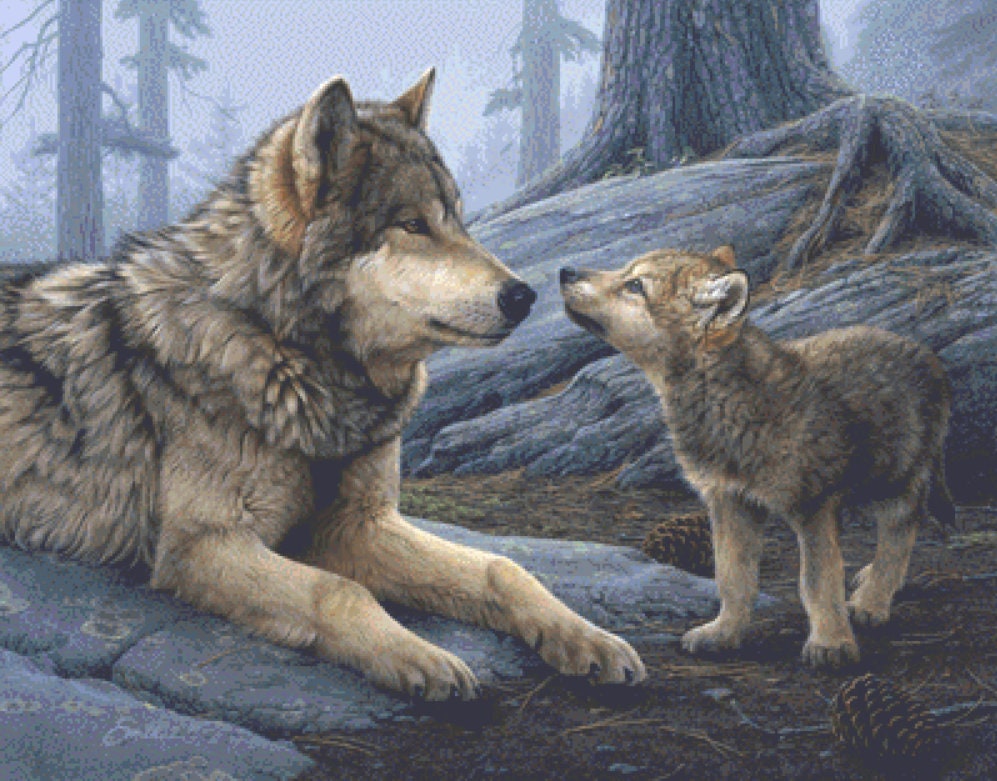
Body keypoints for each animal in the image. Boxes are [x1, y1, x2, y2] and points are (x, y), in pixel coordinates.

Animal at [0, 69, 645, 699]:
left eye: (459, 221)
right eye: (413, 225)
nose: (524, 295)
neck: (289, 356)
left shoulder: (357, 525)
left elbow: (501, 568)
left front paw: (587, 638)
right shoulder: (200, 546)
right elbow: (338, 590)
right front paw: (419, 658)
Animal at [559, 246, 953, 668]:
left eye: (635, 286)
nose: (565, 272)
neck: (724, 398)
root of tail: (926, 354)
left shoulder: (812, 507)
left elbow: (817, 582)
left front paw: (831, 643)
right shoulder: (728, 500)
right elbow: (732, 577)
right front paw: (723, 633)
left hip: (893, 481)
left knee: (901, 532)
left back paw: (872, 601)